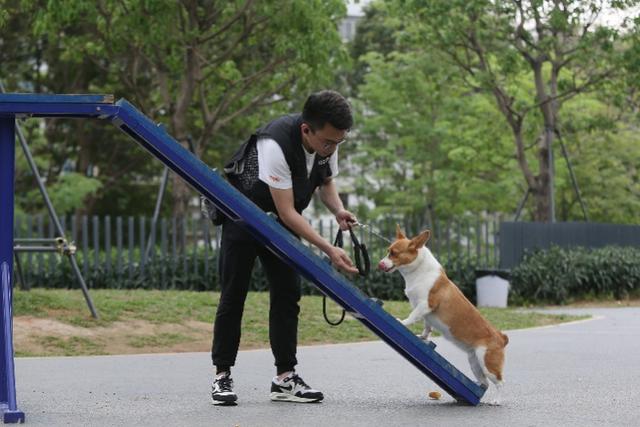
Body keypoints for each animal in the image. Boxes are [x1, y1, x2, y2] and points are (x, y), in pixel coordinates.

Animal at [378, 227, 508, 404]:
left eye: (394, 254)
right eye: (387, 251)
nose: (380, 264)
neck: (418, 271)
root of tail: (501, 338)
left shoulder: (425, 305)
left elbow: (413, 316)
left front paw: (403, 322)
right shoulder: (426, 313)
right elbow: (427, 327)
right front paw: (423, 337)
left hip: (488, 364)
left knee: (500, 382)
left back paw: (497, 400)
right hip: (475, 363)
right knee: (485, 384)